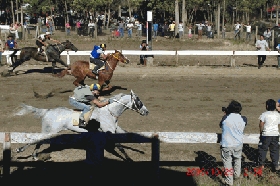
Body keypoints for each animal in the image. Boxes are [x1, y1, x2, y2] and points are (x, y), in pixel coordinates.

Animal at [13, 89, 149, 160]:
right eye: (138, 101)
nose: (147, 112)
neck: (109, 112)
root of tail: (47, 111)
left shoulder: (116, 129)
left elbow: (127, 134)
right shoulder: (109, 132)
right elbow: (120, 146)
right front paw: (129, 159)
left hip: (49, 131)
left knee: (39, 141)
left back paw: (34, 156)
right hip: (50, 130)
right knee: (36, 140)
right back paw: (21, 150)